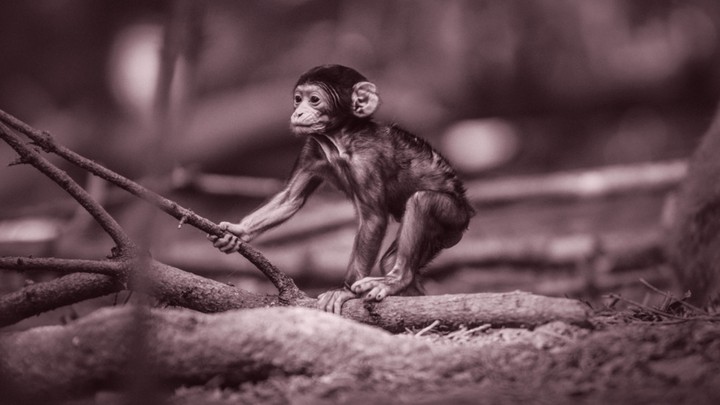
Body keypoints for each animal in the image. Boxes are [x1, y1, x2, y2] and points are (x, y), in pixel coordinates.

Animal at [210, 64, 474, 314]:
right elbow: (290, 199)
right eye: (298, 98)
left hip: (454, 216)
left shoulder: (366, 160)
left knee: (422, 201)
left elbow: (373, 219)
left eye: (314, 99)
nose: (298, 112)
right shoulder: (312, 149)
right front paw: (237, 232)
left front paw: (345, 291)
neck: (339, 141)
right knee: (390, 260)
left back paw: (397, 279)